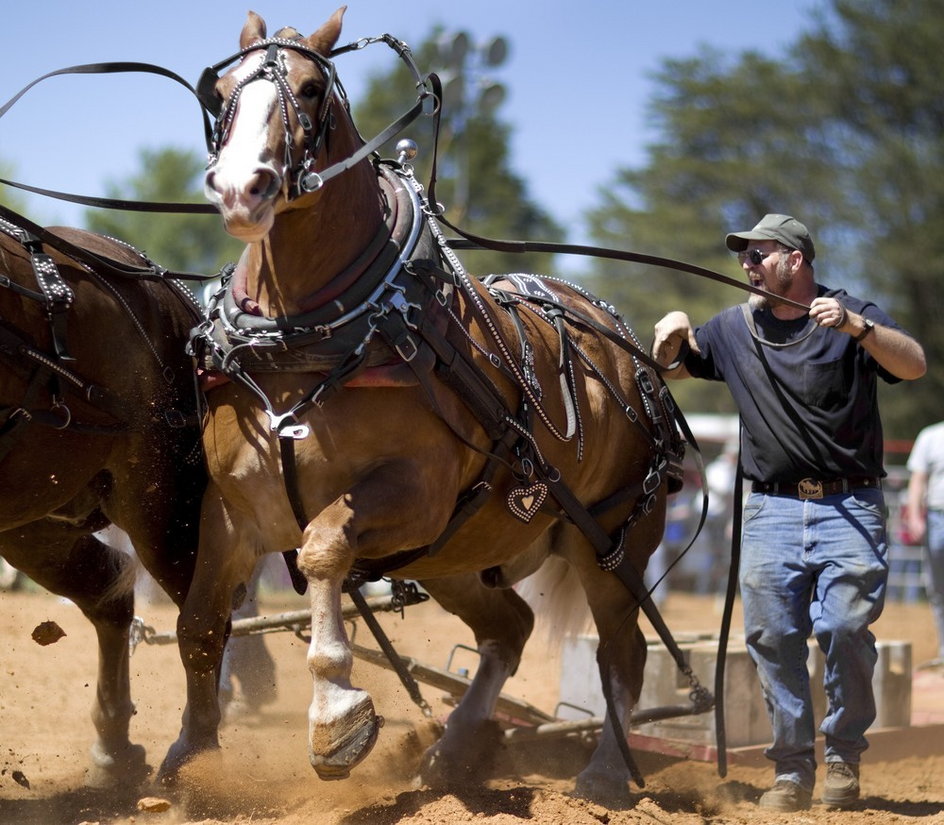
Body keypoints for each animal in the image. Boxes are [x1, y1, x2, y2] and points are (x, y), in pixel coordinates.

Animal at [0, 209, 206, 784]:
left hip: (161, 506)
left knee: (202, 619)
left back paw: (196, 756)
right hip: (35, 518)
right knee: (107, 593)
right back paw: (115, 749)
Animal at [175, 6, 680, 804]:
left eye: (311, 88)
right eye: (222, 91)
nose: (240, 187)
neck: (308, 334)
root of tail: (631, 354)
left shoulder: (414, 494)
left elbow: (321, 547)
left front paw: (335, 718)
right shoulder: (232, 508)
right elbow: (198, 627)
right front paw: (191, 761)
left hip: (609, 542)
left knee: (621, 656)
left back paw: (601, 775)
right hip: (456, 556)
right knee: (509, 629)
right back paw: (449, 754)